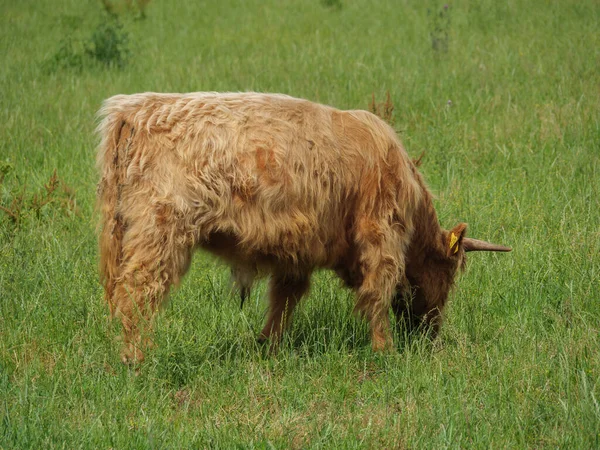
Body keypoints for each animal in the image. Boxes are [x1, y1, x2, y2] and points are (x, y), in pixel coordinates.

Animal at [96, 93, 508, 364]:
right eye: (449, 275)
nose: (431, 335)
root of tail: (134, 110)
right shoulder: (381, 232)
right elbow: (378, 292)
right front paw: (384, 351)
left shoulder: (295, 255)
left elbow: (284, 300)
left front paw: (267, 347)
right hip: (159, 232)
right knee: (137, 293)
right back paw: (136, 360)